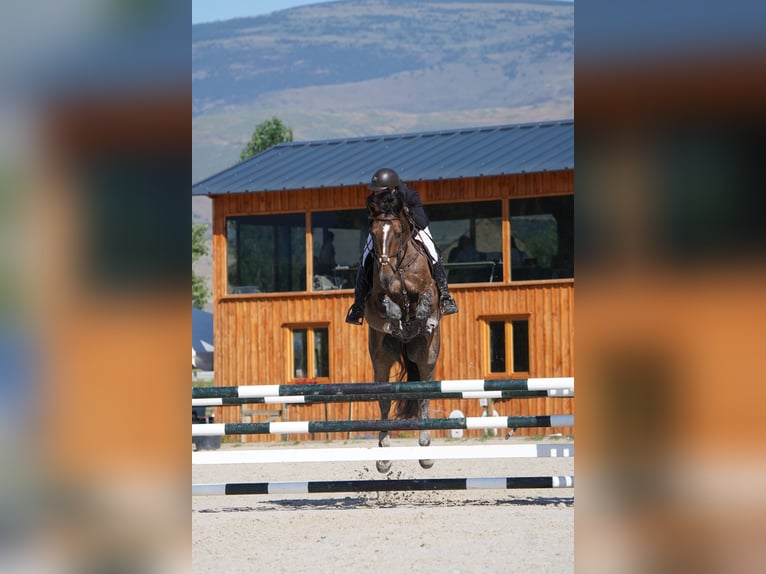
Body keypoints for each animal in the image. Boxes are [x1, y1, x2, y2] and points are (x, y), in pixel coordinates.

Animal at [366, 191, 444, 474]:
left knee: (423, 397)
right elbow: (384, 303)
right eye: (373, 232)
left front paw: (420, 319)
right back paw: (384, 458)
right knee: (384, 400)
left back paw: (426, 452)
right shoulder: (373, 301)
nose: (386, 277)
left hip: (426, 356)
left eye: (399, 232)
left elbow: (426, 300)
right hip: (381, 358)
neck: (399, 268)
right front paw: (397, 317)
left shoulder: (430, 290)